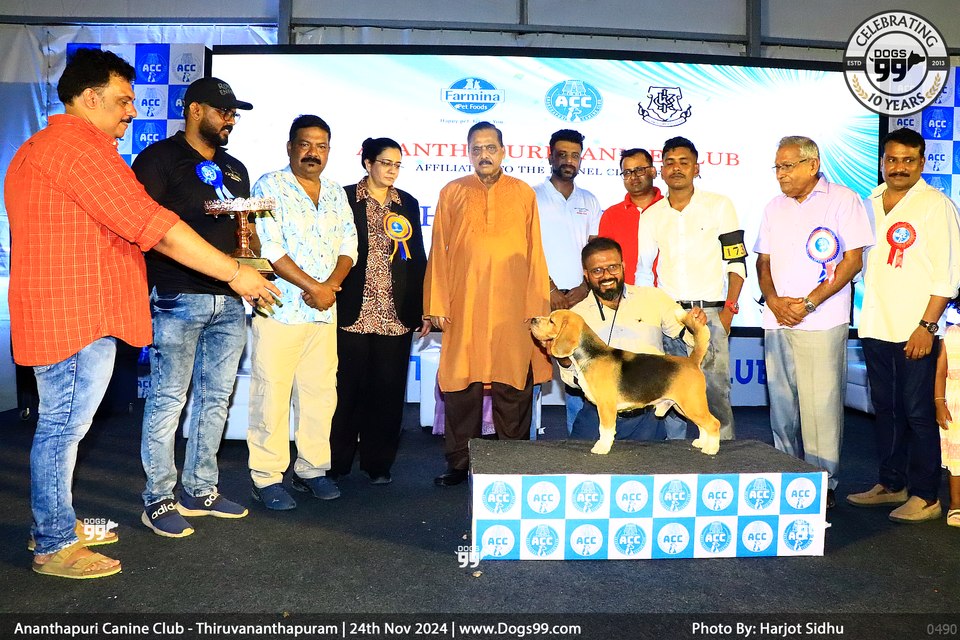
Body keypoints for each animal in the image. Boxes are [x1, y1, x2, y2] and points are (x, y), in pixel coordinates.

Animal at [530, 308, 721, 456]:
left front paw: (602, 448)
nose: (532, 319)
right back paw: (702, 443)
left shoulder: (606, 406)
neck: (591, 355)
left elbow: (605, 429)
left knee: (713, 424)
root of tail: (692, 361)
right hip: (684, 407)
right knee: (703, 425)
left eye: (552, 321)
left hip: (692, 404)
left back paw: (711, 449)